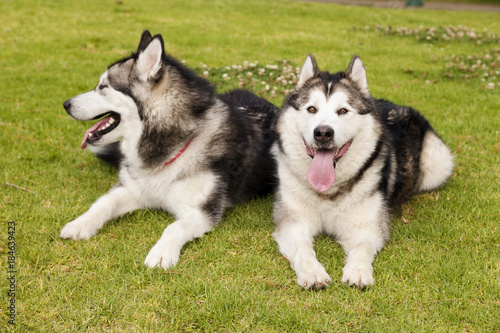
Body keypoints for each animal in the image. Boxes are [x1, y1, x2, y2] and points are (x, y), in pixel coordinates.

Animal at [61, 31, 278, 268]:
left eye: (103, 87)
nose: (66, 104)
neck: (172, 147)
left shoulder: (202, 211)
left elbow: (174, 226)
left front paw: (162, 253)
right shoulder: (133, 189)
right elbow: (103, 203)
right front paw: (80, 224)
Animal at [272, 55, 456, 288]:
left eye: (343, 111)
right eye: (311, 109)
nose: (323, 133)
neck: (329, 192)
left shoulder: (367, 226)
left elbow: (361, 247)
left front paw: (358, 271)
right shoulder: (292, 223)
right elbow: (302, 248)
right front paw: (312, 272)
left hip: (439, 164)